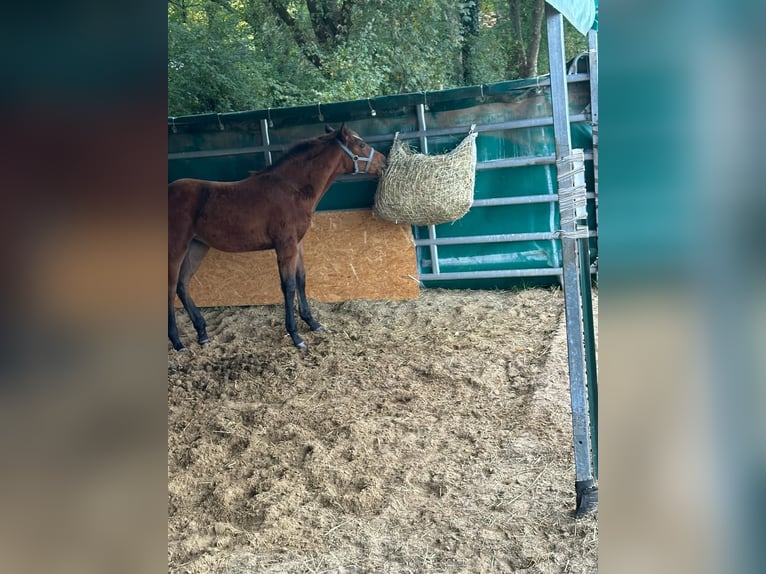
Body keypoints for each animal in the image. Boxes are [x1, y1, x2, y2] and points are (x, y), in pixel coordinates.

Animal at [167, 125, 384, 352]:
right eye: (361, 144)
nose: (384, 162)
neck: (292, 189)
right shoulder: (285, 245)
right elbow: (288, 287)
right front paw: (296, 336)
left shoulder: (297, 244)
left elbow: (301, 279)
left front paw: (313, 323)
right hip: (176, 248)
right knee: (171, 289)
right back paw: (177, 342)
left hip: (197, 246)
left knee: (182, 285)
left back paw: (202, 333)